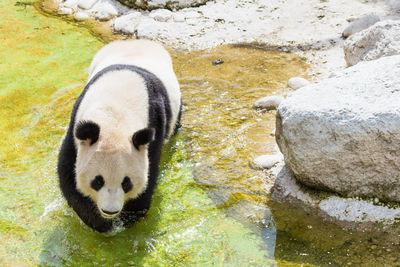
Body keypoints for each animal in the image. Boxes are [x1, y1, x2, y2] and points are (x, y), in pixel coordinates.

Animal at [56, 40, 181, 234]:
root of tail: (134, 41)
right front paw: (100, 222)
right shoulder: (77, 126)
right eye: (98, 181)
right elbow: (68, 173)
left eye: (126, 183)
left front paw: (127, 218)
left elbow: (149, 173)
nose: (110, 210)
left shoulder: (154, 124)